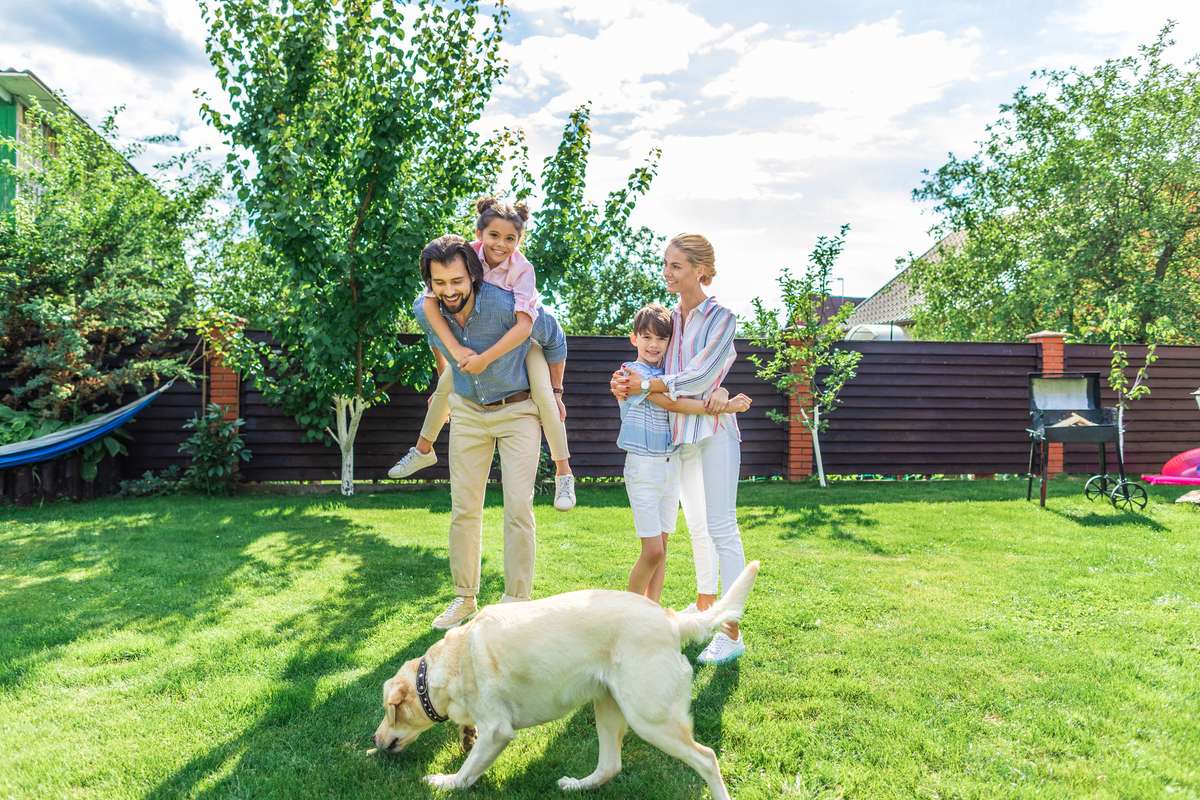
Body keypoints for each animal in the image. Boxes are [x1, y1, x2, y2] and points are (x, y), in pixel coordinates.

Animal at [372, 561, 758, 796]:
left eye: (390, 710)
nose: (375, 740)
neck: (453, 661)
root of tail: (671, 620)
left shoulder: (498, 731)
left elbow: (467, 773)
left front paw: (445, 781)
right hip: (608, 707)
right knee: (610, 766)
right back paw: (577, 785)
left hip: (651, 719)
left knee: (707, 757)